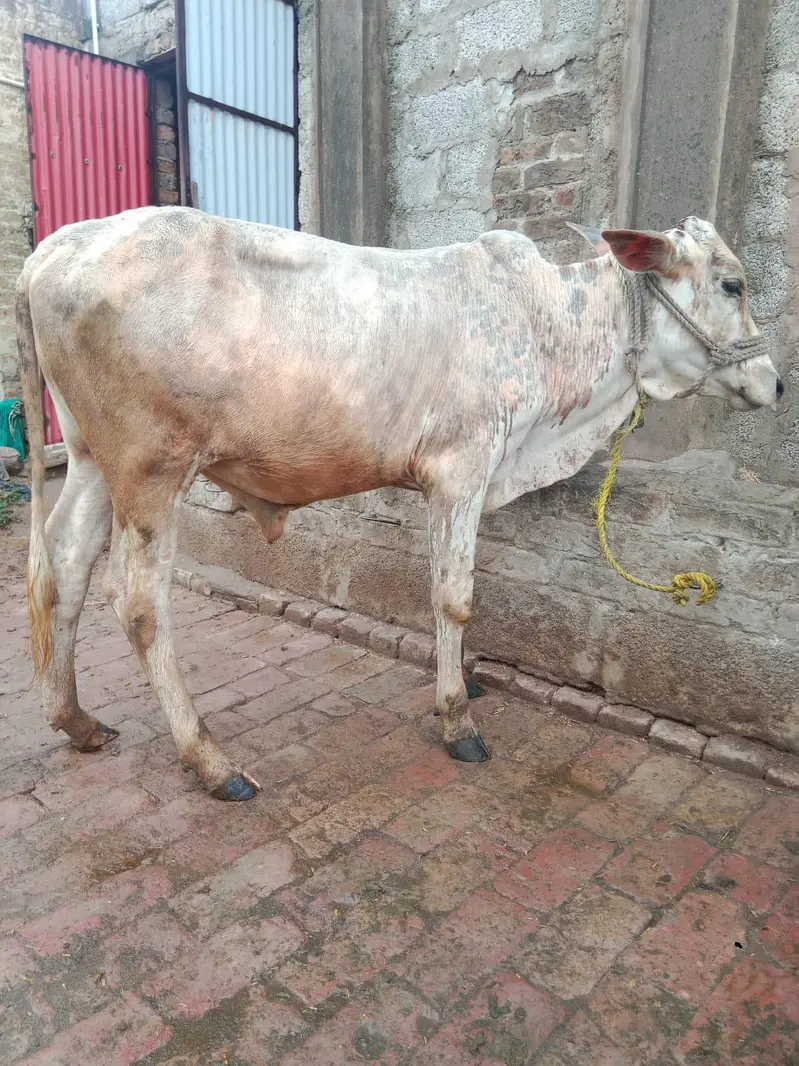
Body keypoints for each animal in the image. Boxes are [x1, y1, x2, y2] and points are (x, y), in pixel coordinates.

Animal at [16, 209, 781, 800]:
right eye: (731, 283)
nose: (775, 383)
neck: (551, 328)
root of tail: (57, 248)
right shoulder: (461, 469)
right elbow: (454, 597)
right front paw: (458, 721)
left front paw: (463, 683)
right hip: (151, 471)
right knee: (138, 604)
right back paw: (210, 761)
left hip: (91, 460)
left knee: (67, 568)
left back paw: (76, 720)